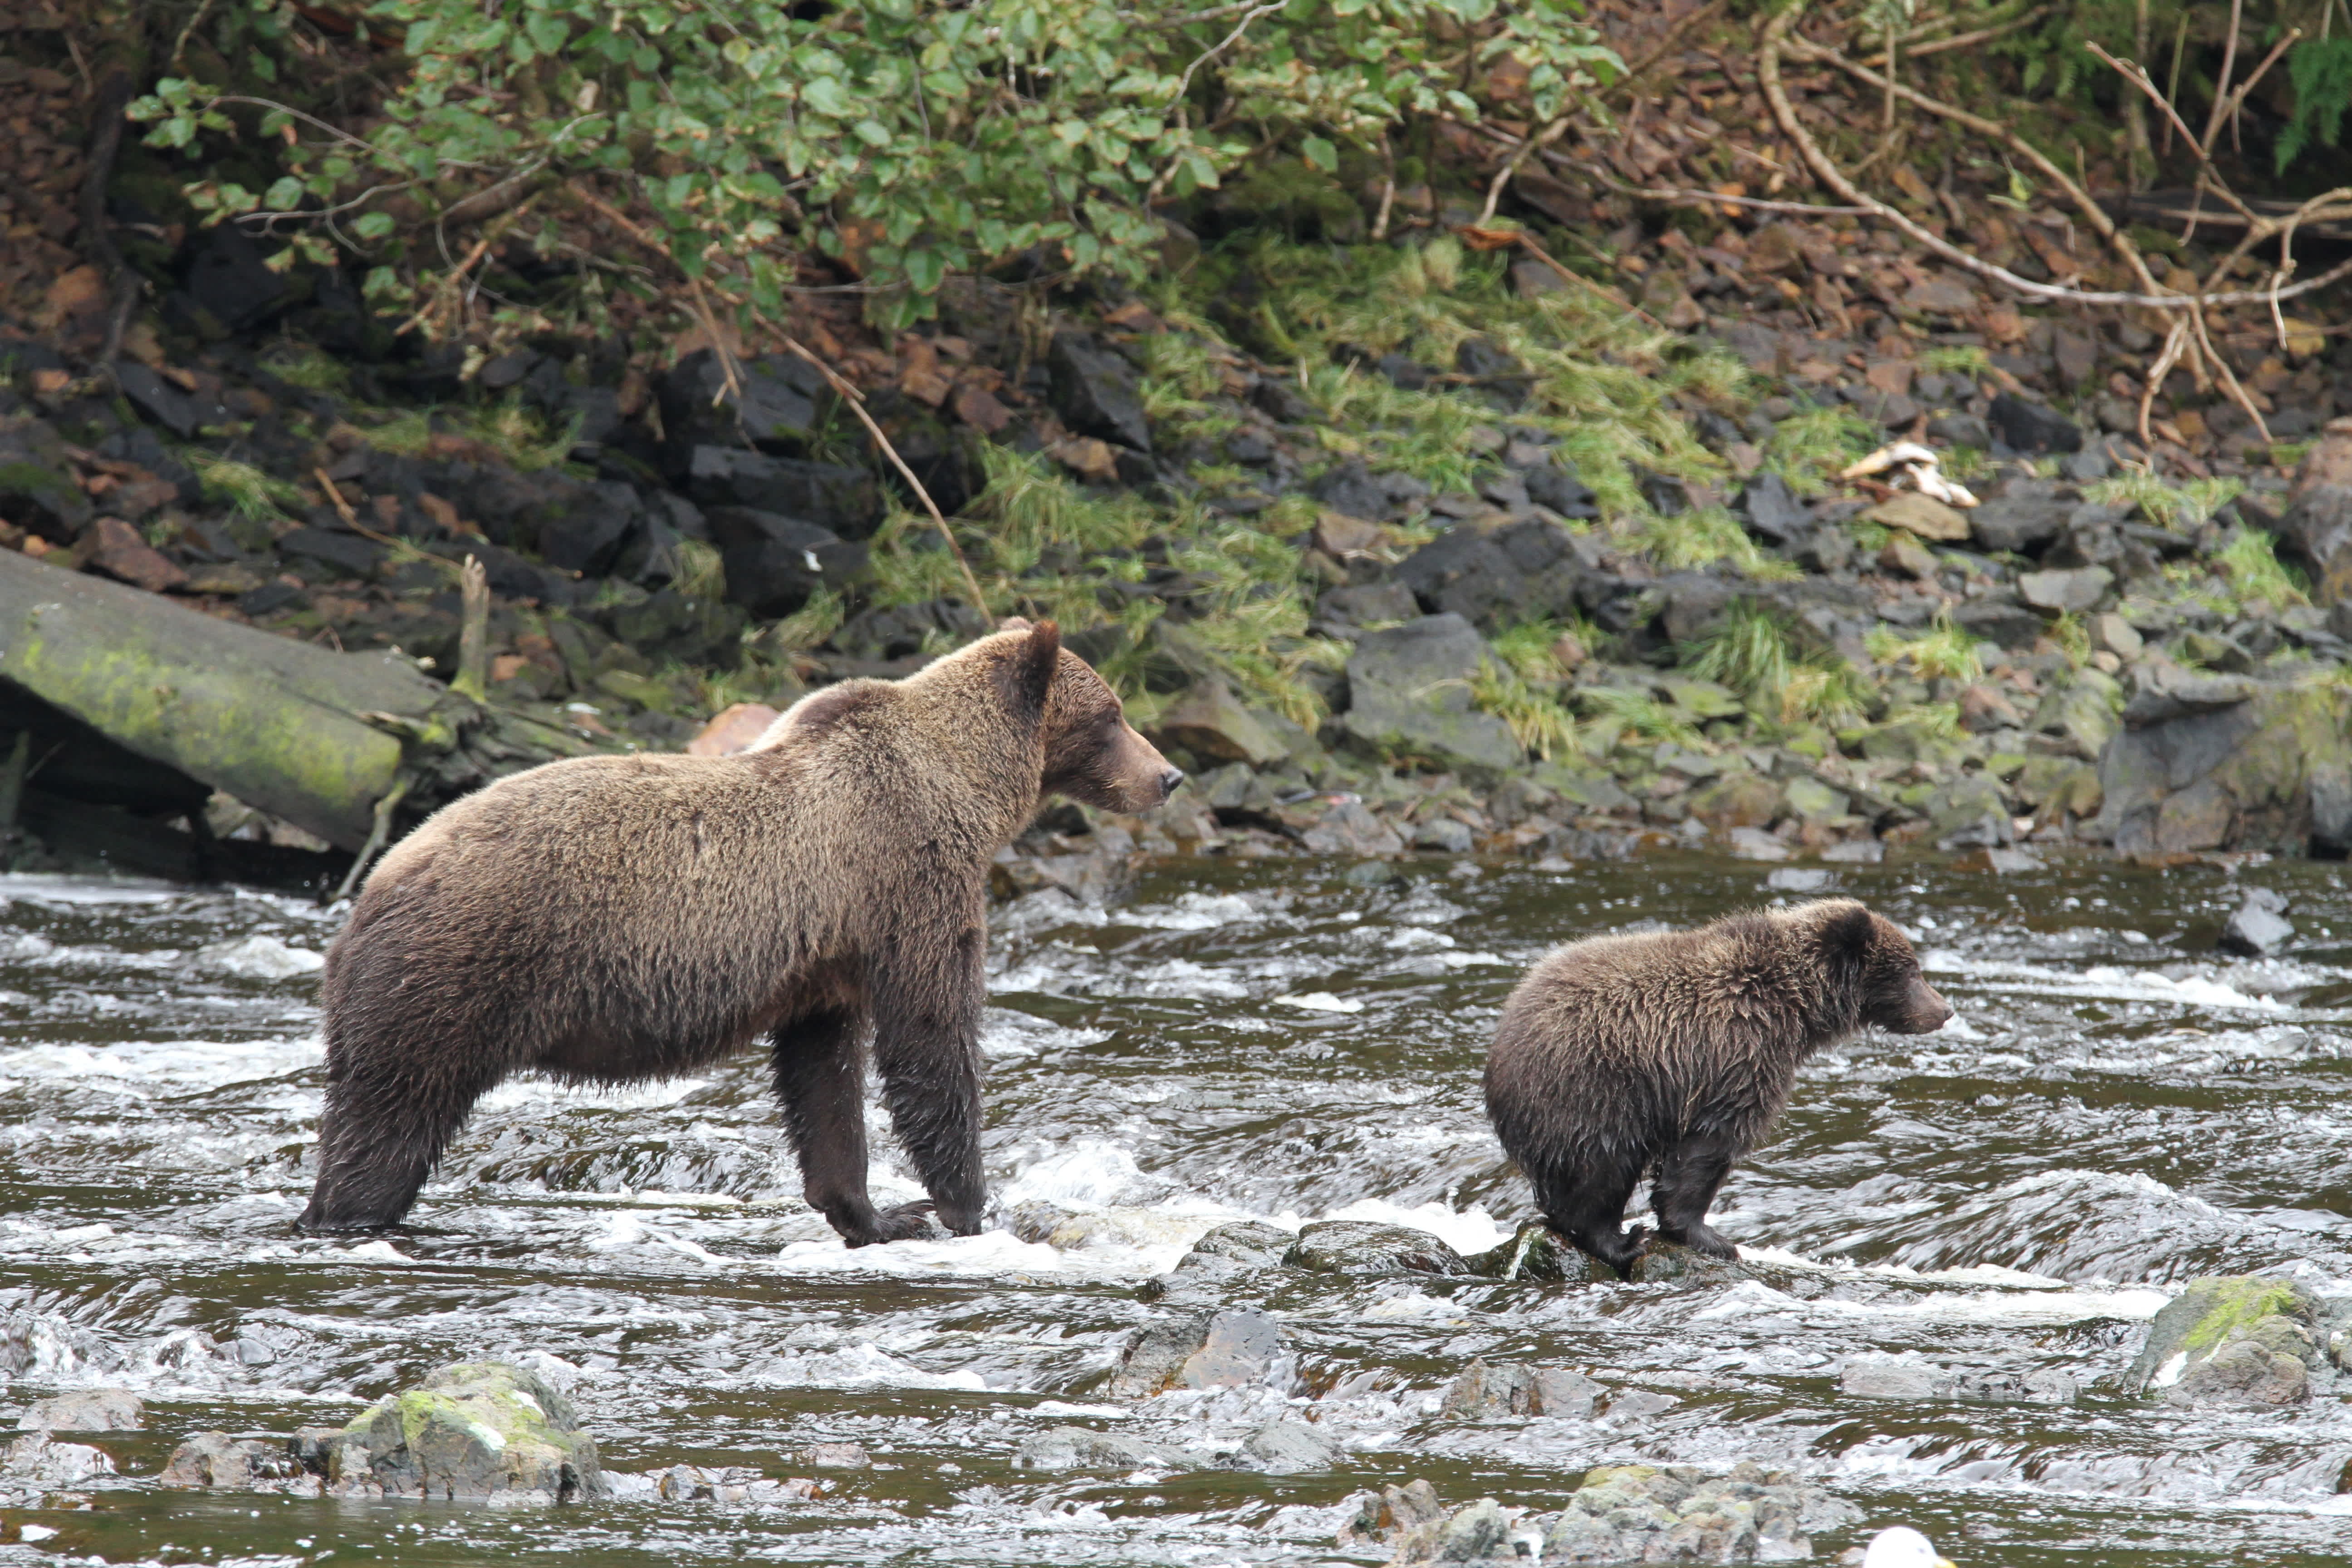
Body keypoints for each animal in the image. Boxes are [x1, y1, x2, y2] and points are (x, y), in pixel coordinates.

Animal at [299, 620, 1176, 1241]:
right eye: (1112, 715)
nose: (1167, 776)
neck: (968, 786)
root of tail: (370, 892)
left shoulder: (826, 955)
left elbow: (823, 1077)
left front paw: (873, 1213)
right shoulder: (907, 878)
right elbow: (930, 1035)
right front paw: (963, 1204)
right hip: (455, 972)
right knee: (389, 1118)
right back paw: (350, 1214)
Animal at [1486, 907, 1947, 1279]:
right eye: (1911, 970)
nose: (1945, 1009)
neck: (1796, 1008)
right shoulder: (1736, 1054)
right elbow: (1708, 1147)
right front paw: (1711, 1238)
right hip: (1593, 1088)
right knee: (1600, 1168)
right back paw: (1622, 1240)